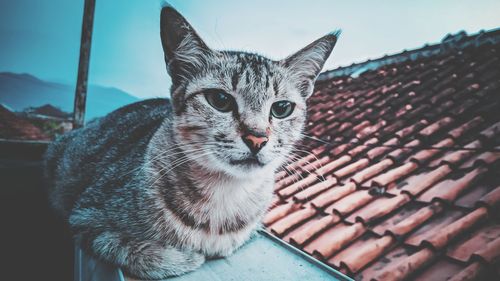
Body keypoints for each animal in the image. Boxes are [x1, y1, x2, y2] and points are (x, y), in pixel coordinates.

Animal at [44, 3, 340, 278]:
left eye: (281, 108)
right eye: (220, 100)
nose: (257, 138)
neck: (224, 197)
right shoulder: (87, 217)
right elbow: (141, 252)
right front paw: (186, 256)